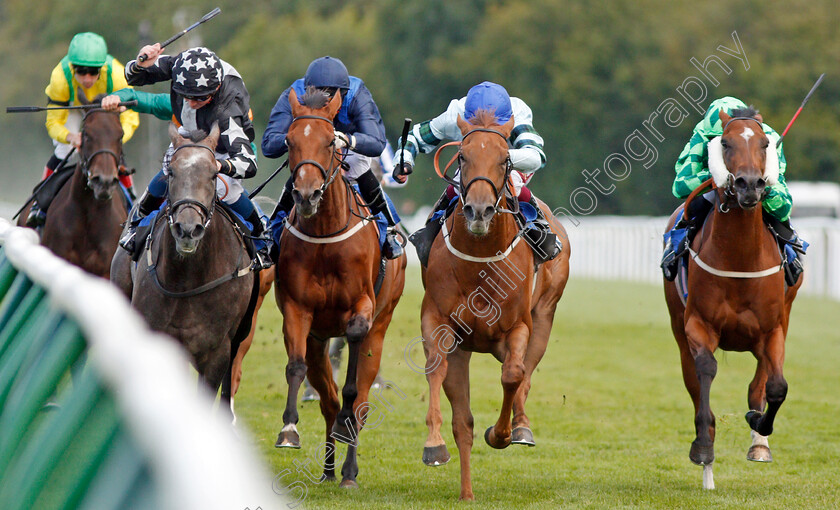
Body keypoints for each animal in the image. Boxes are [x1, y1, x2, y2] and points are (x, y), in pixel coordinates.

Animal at [420, 109, 572, 500]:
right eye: (461, 157)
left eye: (505, 159)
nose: (478, 210)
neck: (480, 261)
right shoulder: (440, 322)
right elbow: (436, 369)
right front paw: (434, 445)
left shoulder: (517, 328)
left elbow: (514, 375)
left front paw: (502, 433)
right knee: (464, 421)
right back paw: (466, 492)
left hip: (544, 316)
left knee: (524, 377)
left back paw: (521, 427)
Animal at [664, 108, 800, 490]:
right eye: (724, 142)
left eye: (766, 143)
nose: (749, 184)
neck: (739, 256)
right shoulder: (699, 324)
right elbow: (706, 373)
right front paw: (704, 448)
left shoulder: (772, 329)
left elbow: (777, 387)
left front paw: (759, 425)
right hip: (678, 329)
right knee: (693, 380)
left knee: (761, 380)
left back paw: (759, 441)